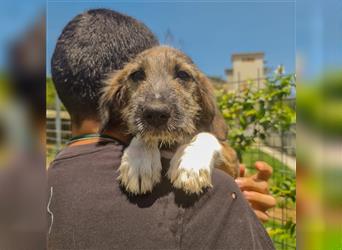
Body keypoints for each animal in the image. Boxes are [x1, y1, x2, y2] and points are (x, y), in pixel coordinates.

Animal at [99, 47, 238, 195]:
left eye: (183, 74)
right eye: (136, 75)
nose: (156, 113)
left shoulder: (233, 161)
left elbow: (206, 135)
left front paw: (191, 164)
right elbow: (144, 135)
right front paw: (139, 161)